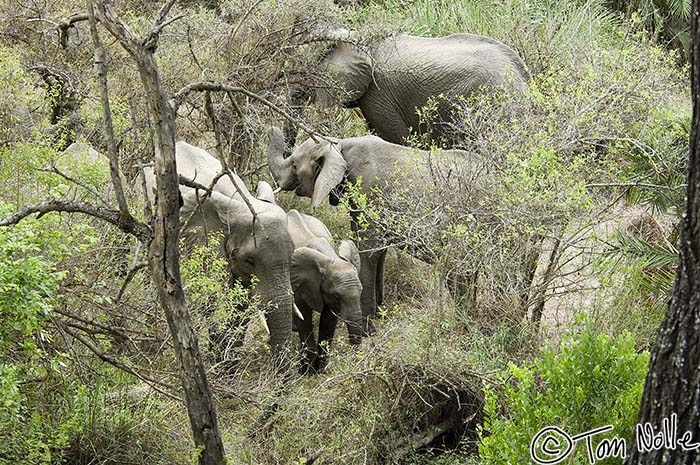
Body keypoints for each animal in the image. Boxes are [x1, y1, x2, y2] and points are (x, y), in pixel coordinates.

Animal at [142, 140, 296, 362]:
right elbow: (213, 297)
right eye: (249, 260)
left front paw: (227, 363)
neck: (242, 202)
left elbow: (240, 302)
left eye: (292, 259)